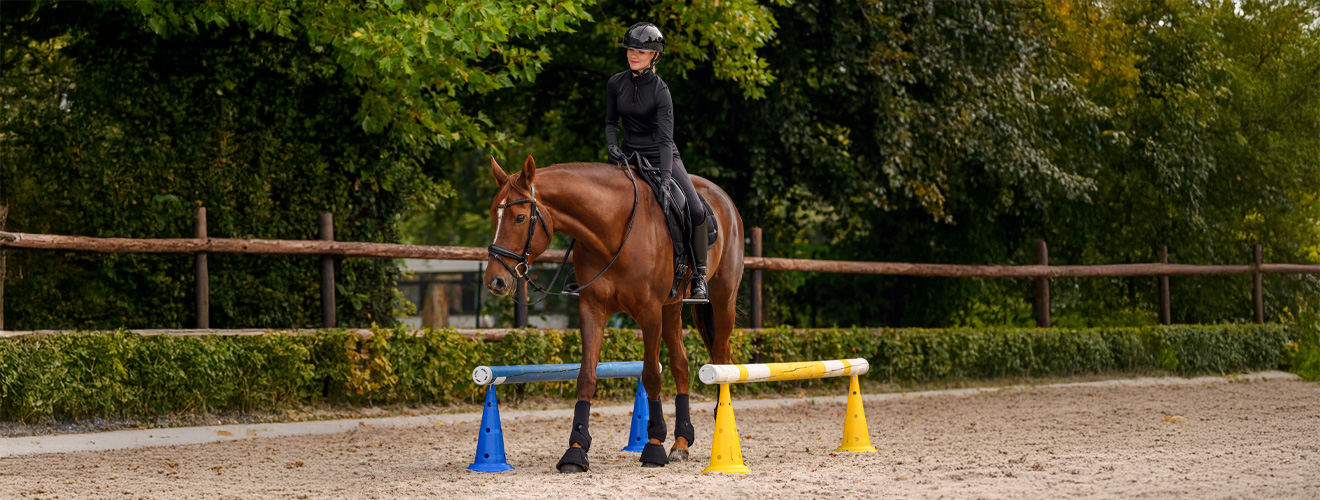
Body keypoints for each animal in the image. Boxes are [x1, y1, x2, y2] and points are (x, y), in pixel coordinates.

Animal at [483, 155, 743, 472]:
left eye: (520, 218)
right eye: (493, 216)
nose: (495, 281)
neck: (612, 229)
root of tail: (723, 198)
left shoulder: (649, 313)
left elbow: (651, 376)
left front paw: (653, 446)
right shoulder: (592, 310)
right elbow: (586, 377)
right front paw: (576, 450)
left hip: (722, 299)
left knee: (721, 358)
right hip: (671, 308)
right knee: (681, 365)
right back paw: (681, 444)